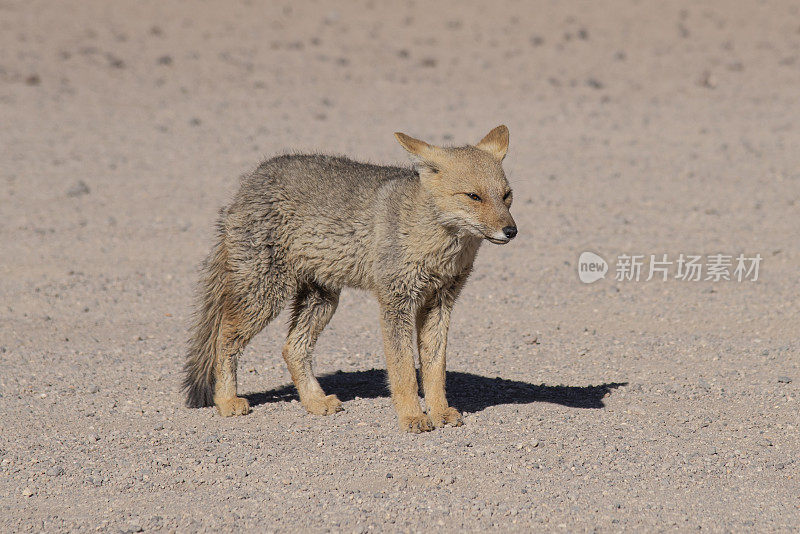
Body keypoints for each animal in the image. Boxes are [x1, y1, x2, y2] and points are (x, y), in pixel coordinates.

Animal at [184, 126, 516, 436]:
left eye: (506, 196)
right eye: (474, 196)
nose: (511, 231)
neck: (438, 246)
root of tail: (249, 181)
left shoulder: (440, 302)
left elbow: (435, 368)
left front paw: (440, 412)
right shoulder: (396, 302)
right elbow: (404, 370)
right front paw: (411, 416)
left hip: (322, 300)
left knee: (292, 349)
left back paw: (315, 402)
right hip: (264, 297)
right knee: (223, 338)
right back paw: (226, 401)